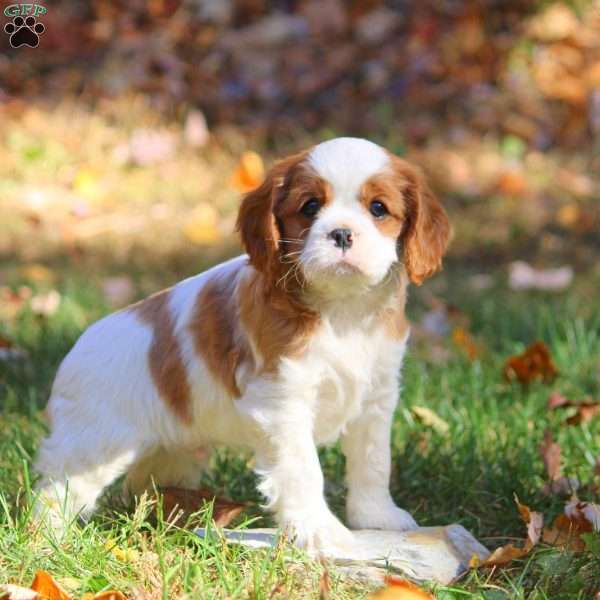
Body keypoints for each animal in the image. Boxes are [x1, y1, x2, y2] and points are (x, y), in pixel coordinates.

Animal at [35, 138, 448, 552]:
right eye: (310, 207)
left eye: (378, 208)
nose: (343, 234)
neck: (342, 309)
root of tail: (74, 349)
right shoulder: (284, 402)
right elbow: (304, 470)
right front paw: (319, 531)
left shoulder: (376, 395)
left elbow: (373, 461)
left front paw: (377, 518)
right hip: (93, 443)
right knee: (57, 490)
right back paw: (48, 541)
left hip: (173, 452)